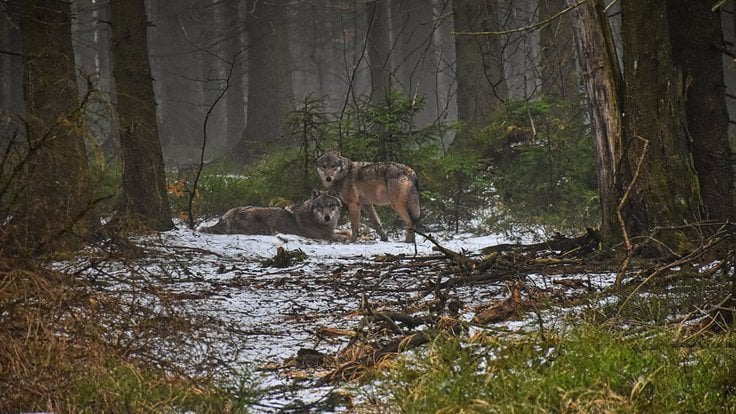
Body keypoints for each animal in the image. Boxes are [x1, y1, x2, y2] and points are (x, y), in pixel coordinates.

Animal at [197, 190, 344, 241]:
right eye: (320, 207)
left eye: (331, 206)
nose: (327, 217)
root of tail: (228, 214)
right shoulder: (328, 236)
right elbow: (346, 235)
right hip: (266, 226)